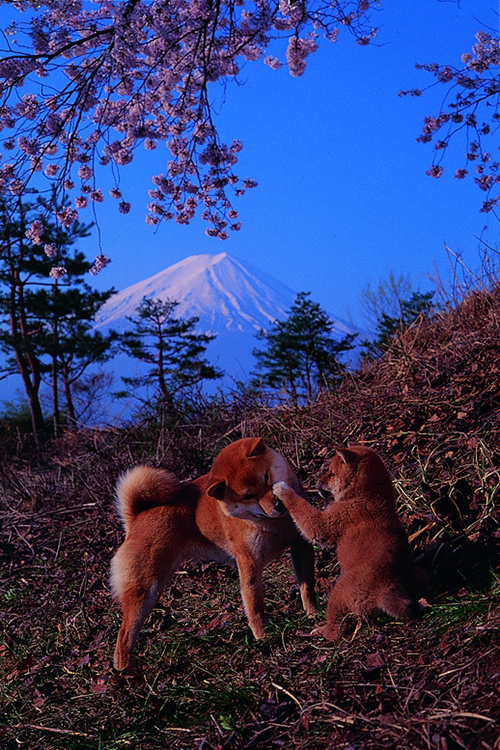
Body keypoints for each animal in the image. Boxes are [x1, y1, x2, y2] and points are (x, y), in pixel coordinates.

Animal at [110, 438, 316, 672]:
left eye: (265, 477)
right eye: (248, 496)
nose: (280, 505)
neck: (274, 525)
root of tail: (135, 518)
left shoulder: (301, 546)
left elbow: (307, 588)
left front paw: (314, 615)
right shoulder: (249, 564)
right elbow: (255, 607)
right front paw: (264, 639)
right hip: (147, 590)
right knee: (123, 637)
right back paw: (128, 674)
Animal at [272, 446, 428, 648]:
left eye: (331, 473)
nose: (316, 481)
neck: (367, 497)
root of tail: (389, 586)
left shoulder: (322, 525)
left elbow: (299, 505)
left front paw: (282, 488)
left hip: (336, 595)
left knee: (335, 630)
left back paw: (317, 632)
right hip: (420, 575)